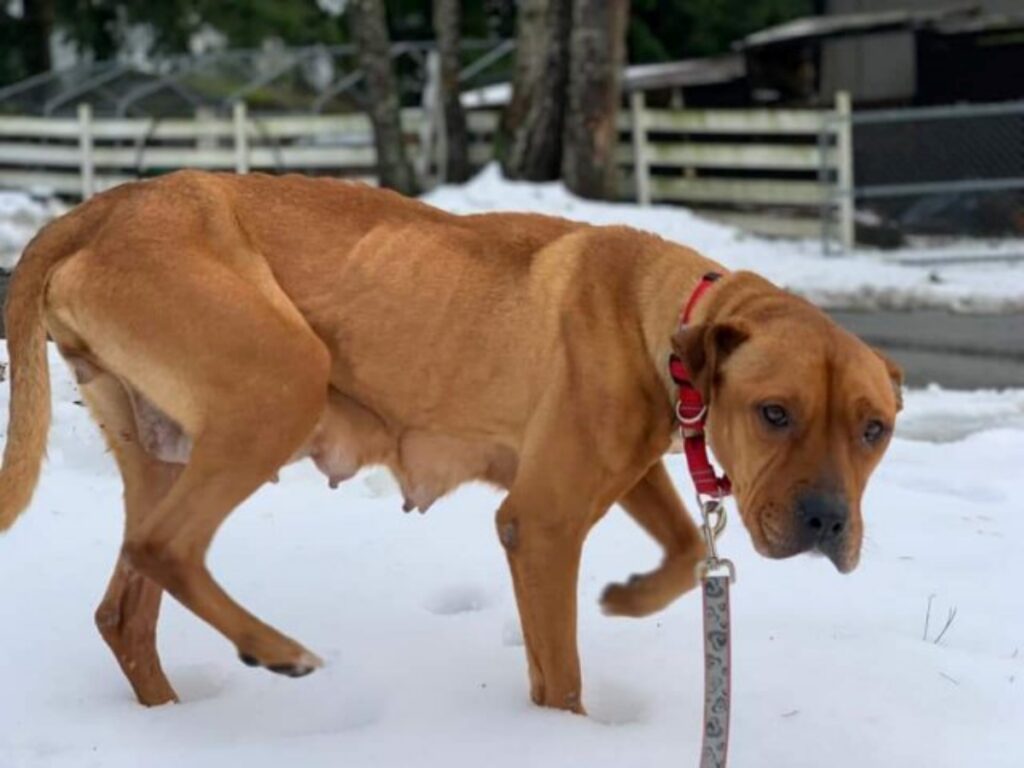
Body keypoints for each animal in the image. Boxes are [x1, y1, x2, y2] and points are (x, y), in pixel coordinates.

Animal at [0, 171, 901, 712]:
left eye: (874, 429)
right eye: (773, 412)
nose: (827, 522)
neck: (659, 310)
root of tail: (96, 208)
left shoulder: (624, 466)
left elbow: (684, 548)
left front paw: (630, 597)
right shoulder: (541, 522)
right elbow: (560, 672)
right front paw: (566, 734)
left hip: (166, 447)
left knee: (125, 608)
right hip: (280, 380)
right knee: (164, 547)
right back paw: (274, 648)